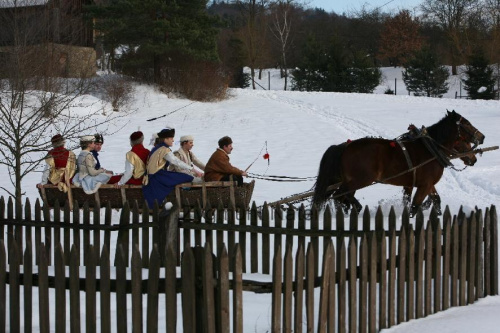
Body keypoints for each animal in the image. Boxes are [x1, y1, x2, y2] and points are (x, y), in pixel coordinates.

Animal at [312, 109, 484, 215]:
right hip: (360, 180)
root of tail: (345, 146)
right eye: (466, 124)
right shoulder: (425, 185)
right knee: (339, 196)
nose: (482, 137)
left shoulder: (421, 184)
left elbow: (435, 201)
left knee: (341, 197)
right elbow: (414, 206)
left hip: (350, 182)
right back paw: (356, 208)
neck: (431, 149)